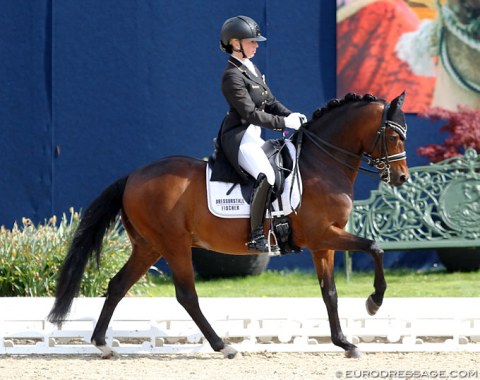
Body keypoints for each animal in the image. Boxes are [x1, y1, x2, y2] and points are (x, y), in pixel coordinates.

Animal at [47, 92, 408, 360]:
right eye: (392, 135)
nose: (401, 177)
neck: (320, 164)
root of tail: (133, 176)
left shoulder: (324, 243)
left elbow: (329, 292)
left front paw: (345, 343)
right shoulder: (324, 234)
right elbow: (374, 247)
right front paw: (374, 302)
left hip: (148, 247)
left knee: (118, 285)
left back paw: (102, 344)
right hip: (174, 245)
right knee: (187, 295)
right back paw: (223, 346)